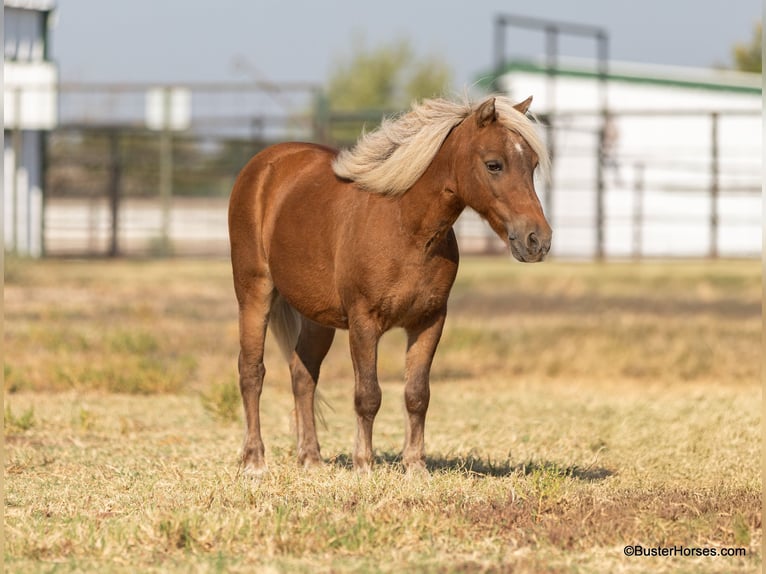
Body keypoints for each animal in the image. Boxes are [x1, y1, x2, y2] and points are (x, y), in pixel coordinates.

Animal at [228, 95, 551, 476]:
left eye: (532, 165)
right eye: (494, 164)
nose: (537, 240)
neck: (405, 227)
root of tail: (262, 166)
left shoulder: (429, 322)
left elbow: (417, 394)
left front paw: (415, 465)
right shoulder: (364, 323)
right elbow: (368, 395)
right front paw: (364, 465)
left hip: (317, 317)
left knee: (302, 374)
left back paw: (311, 459)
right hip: (254, 294)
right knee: (252, 372)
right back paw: (254, 461)